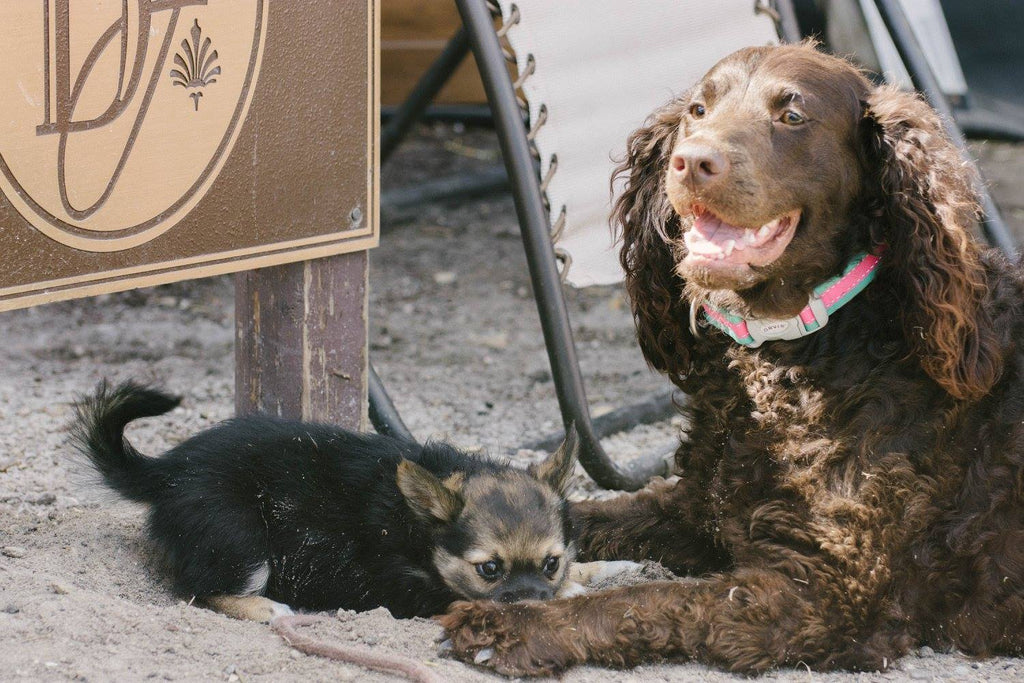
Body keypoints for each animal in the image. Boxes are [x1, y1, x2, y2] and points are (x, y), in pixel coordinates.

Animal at [72, 382, 598, 622]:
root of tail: (169, 471)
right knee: (200, 589)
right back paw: (267, 609)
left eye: (551, 564)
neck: (416, 527)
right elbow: (458, 597)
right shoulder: (403, 592)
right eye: (488, 569)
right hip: (242, 541)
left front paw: (588, 575)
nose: (534, 605)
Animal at [440, 44, 1024, 679]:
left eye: (792, 116)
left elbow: (644, 600)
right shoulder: (696, 509)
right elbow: (580, 514)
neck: (793, 355)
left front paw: (515, 625)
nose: (692, 163)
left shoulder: (822, 594)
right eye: (698, 110)